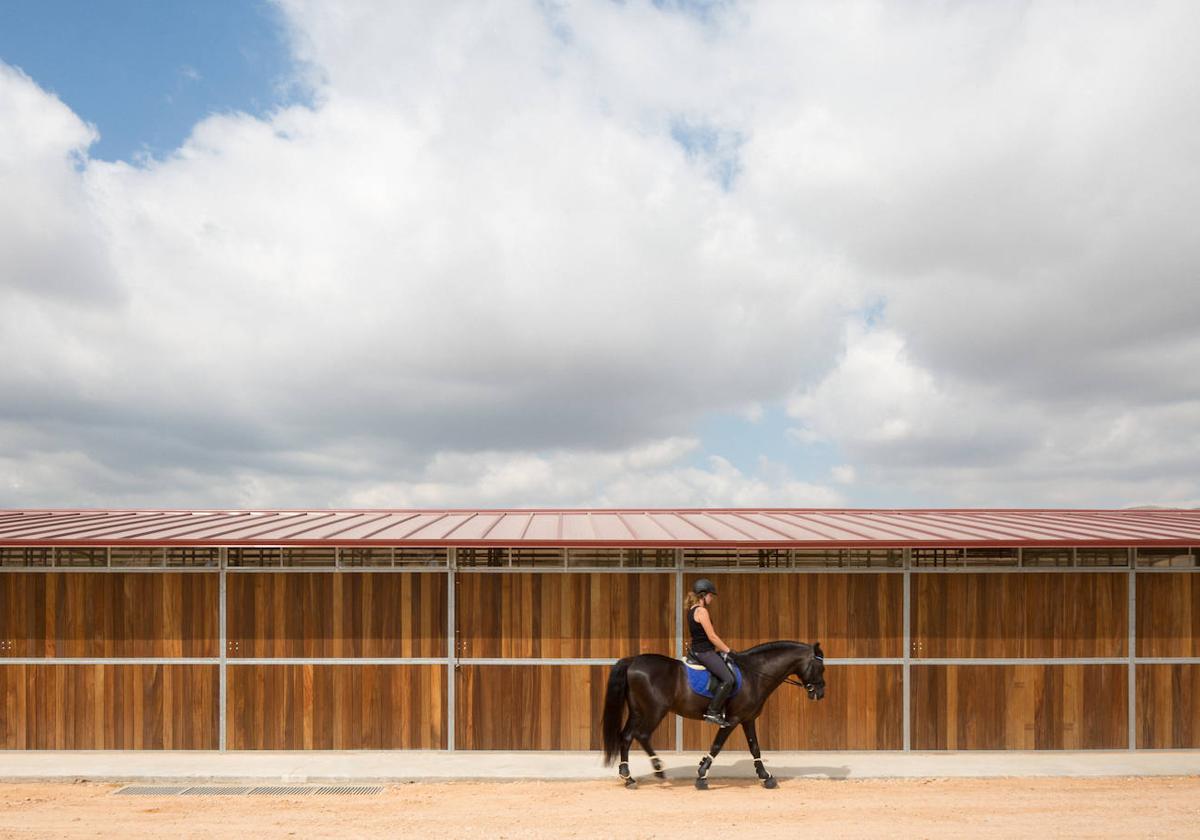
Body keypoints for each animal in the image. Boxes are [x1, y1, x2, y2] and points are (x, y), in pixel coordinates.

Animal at [600, 638, 825, 792]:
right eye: (820, 667)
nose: (820, 693)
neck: (755, 674)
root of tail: (633, 661)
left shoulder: (748, 719)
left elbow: (754, 748)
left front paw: (766, 777)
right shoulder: (731, 721)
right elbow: (717, 746)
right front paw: (701, 777)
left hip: (637, 711)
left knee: (627, 736)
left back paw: (628, 778)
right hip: (654, 711)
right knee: (642, 735)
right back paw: (658, 769)